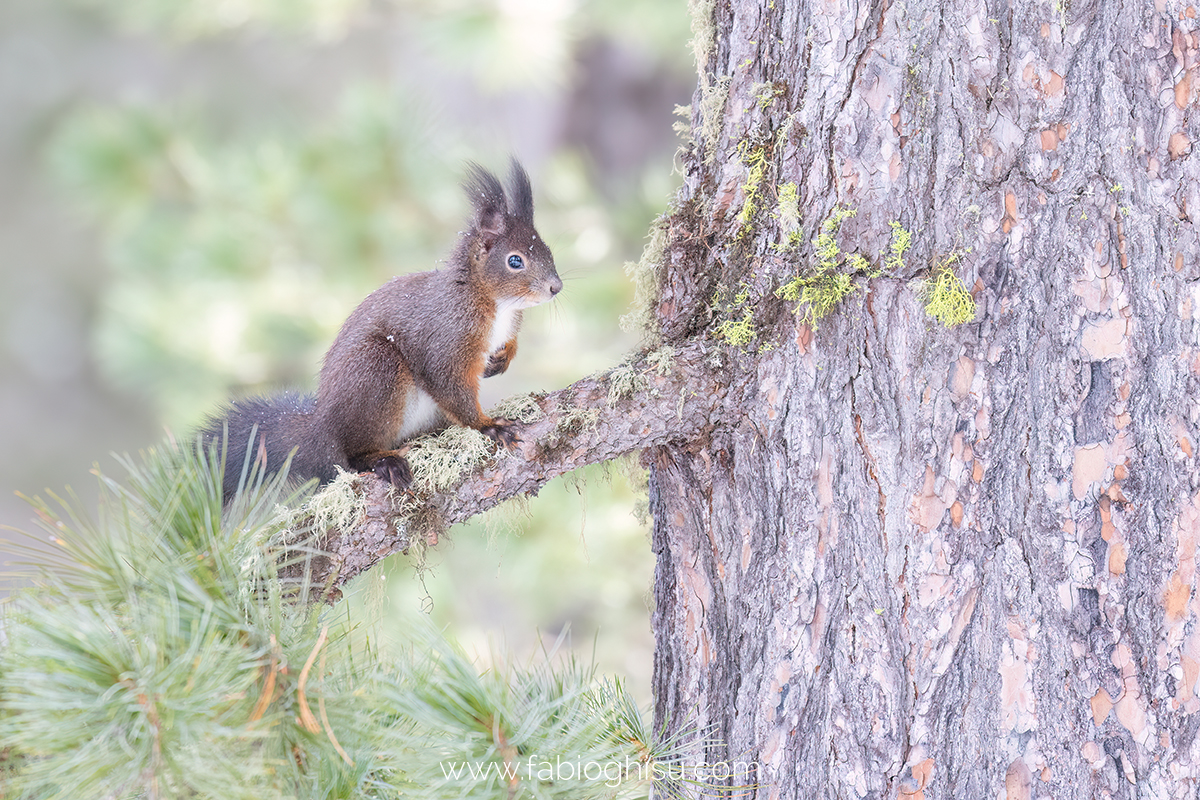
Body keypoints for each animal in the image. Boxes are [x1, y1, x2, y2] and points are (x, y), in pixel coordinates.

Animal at [201, 159, 561, 501]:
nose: (556, 287)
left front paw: (502, 358)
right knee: (352, 456)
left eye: (548, 250)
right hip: (376, 371)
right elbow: (449, 384)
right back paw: (382, 460)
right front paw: (487, 426)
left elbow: (506, 347)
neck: (497, 304)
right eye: (515, 261)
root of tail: (322, 432)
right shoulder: (446, 336)